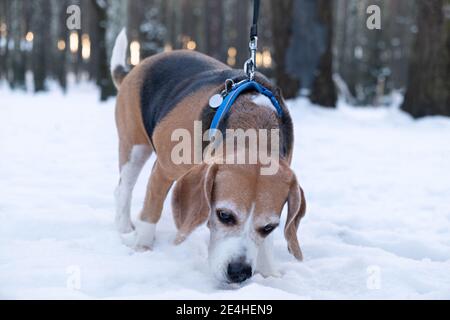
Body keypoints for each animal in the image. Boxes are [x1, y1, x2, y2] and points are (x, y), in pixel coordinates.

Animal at [110, 30, 306, 284]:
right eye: (225, 215)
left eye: (269, 227)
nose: (239, 272)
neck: (253, 128)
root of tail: (138, 67)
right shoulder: (162, 171)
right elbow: (152, 211)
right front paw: (142, 247)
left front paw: (268, 272)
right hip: (134, 146)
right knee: (124, 188)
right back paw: (125, 227)